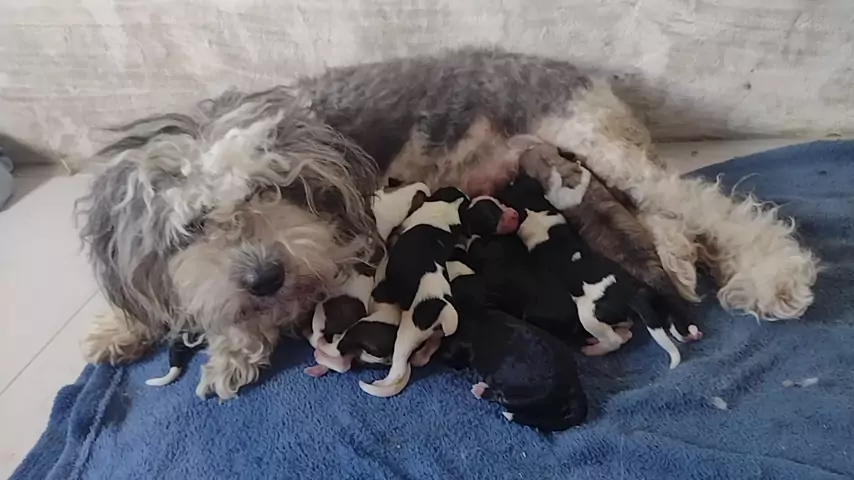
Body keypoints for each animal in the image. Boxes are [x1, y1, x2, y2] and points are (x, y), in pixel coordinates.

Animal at [440, 249, 588, 431]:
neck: (476, 307)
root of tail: (574, 388)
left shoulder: (459, 346)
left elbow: (451, 358)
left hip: (520, 395)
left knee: (500, 397)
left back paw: (481, 390)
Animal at [498, 172, 696, 368]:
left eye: (510, 185)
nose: (513, 176)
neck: (533, 208)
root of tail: (632, 294)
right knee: (625, 328)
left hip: (588, 316)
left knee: (615, 340)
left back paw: (593, 349)